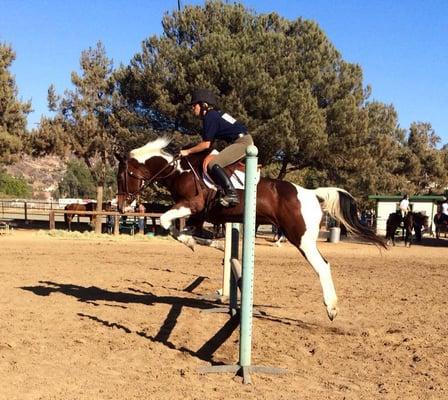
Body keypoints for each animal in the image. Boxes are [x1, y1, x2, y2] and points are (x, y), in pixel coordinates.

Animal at [117, 138, 386, 322]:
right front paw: (211, 243)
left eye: (123, 176)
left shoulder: (192, 205)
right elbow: (177, 231)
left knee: (322, 265)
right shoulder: (196, 214)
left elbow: (165, 222)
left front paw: (200, 242)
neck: (178, 171)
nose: (121, 207)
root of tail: (311, 193)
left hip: (301, 238)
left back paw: (331, 308)